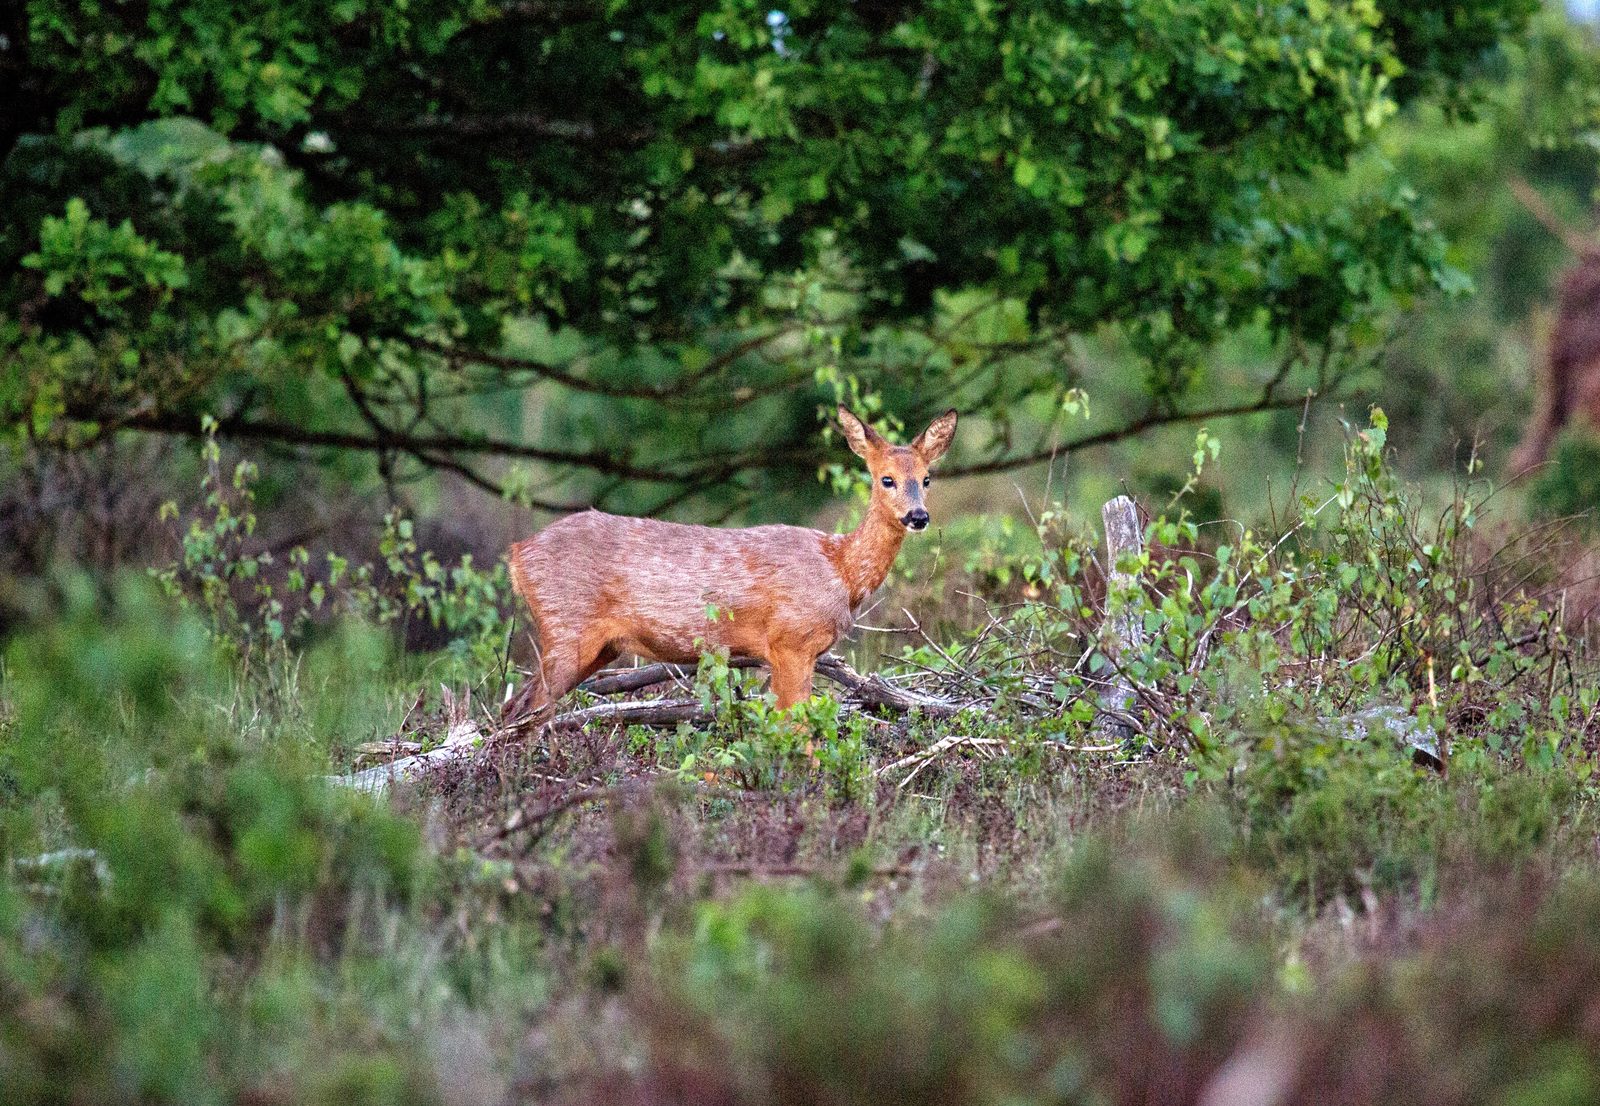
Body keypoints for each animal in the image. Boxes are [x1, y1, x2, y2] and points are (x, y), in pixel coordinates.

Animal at [505, 409, 953, 723]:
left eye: (927, 479)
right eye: (886, 479)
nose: (918, 516)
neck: (839, 568)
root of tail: (517, 553)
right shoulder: (791, 640)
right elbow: (796, 728)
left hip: (599, 648)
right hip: (567, 628)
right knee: (521, 715)